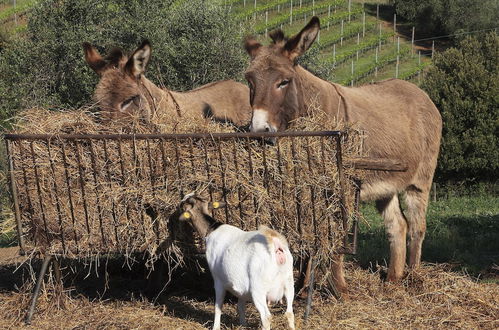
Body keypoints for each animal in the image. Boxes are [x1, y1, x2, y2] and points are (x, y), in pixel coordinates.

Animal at [178, 193, 294, 330]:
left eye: (184, 204)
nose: (180, 201)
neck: (212, 229)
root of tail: (275, 244)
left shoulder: (218, 279)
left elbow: (218, 306)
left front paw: (215, 326)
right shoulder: (241, 285)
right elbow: (241, 306)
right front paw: (243, 324)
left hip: (258, 289)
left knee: (266, 317)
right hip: (289, 283)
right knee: (289, 313)